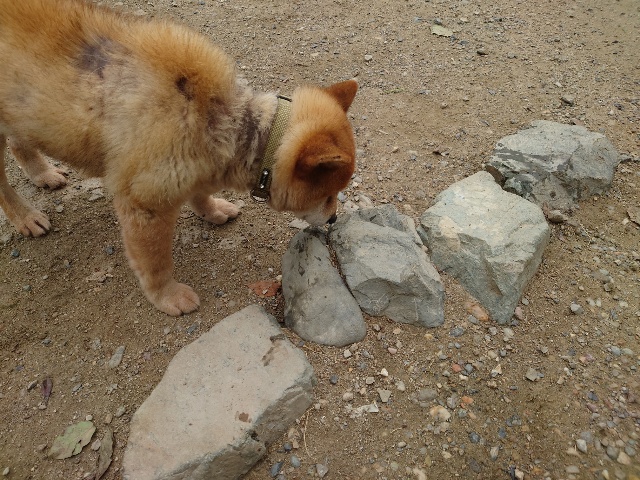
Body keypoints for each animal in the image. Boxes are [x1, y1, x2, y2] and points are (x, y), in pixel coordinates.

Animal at [0, 0, 357, 316]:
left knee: (20, 144)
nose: (334, 219)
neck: (229, 121)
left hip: (23, 116)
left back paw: (43, 174)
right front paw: (167, 296)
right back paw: (26, 217)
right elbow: (155, 262)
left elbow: (200, 194)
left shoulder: (198, 167)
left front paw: (213, 210)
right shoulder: (144, 204)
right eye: (329, 196)